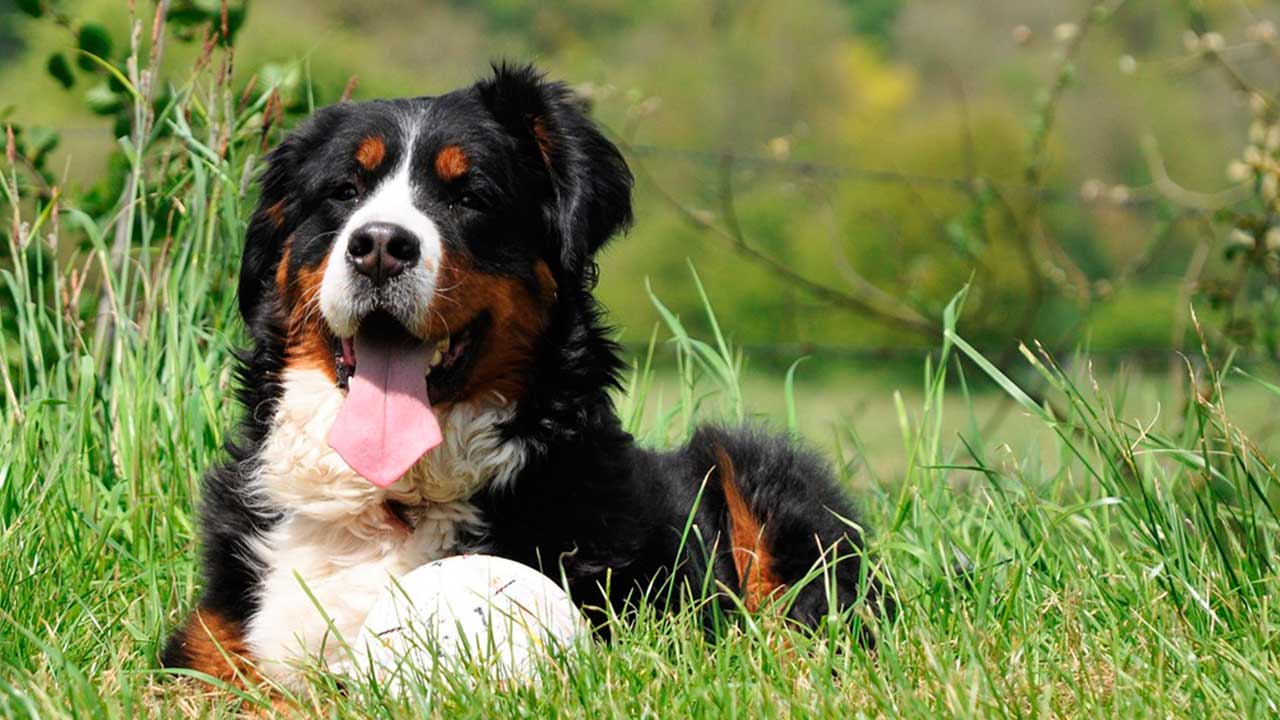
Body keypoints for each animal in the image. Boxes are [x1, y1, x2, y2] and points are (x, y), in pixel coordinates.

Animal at [162, 64, 890, 686]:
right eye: (344, 190)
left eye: (470, 195)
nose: (380, 247)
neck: (391, 502)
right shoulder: (211, 644)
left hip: (752, 468)